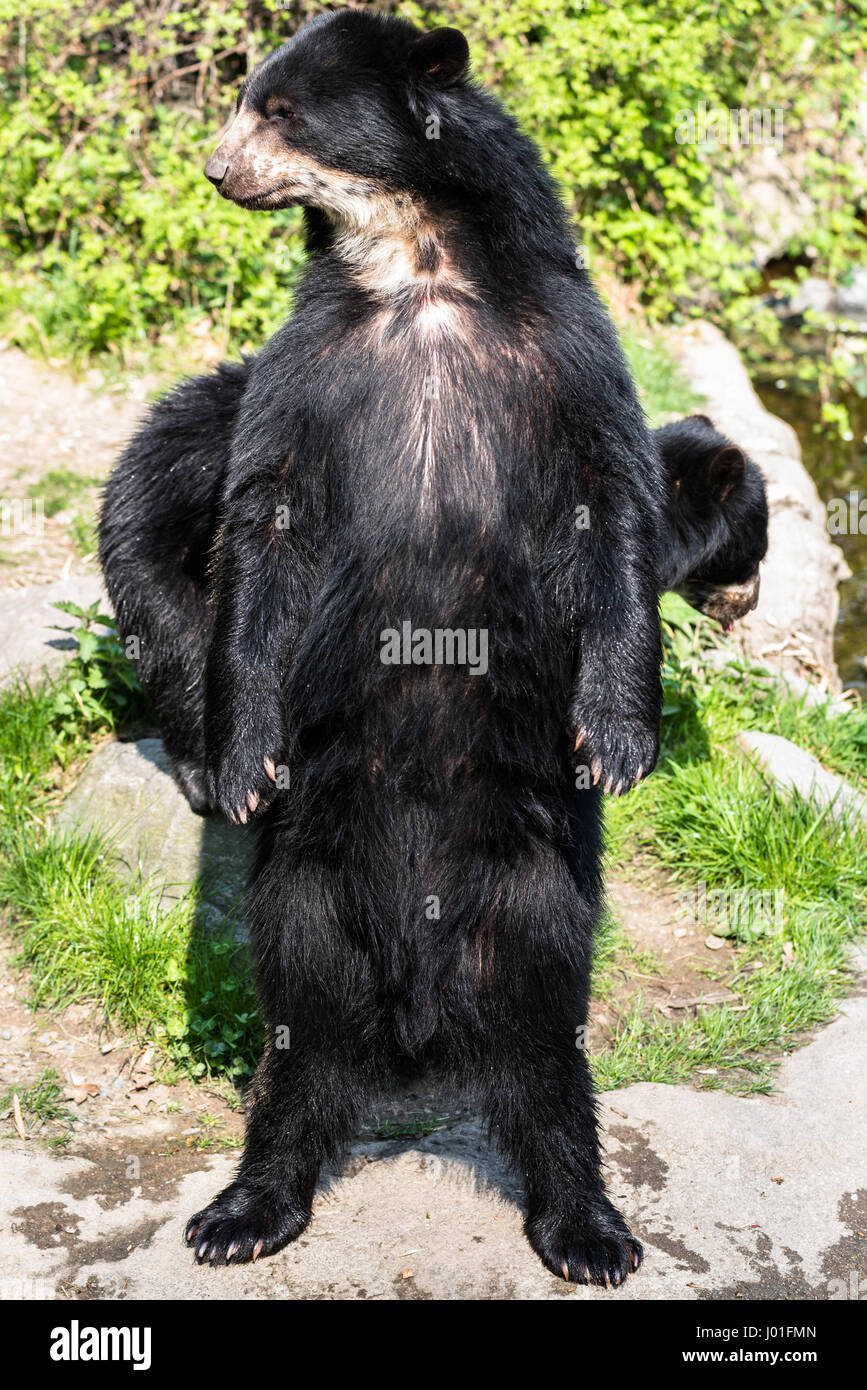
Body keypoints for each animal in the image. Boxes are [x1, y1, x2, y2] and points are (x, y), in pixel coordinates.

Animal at [99, 9, 738, 1284]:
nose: (215, 169)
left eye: (280, 110)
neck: (418, 265)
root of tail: (417, 1004)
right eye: (248, 100)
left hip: (536, 885)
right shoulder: (309, 365)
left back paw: (586, 1226)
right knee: (295, 1036)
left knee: (550, 1044)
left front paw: (621, 739)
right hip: (306, 883)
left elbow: (616, 501)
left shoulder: (562, 345)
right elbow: (260, 518)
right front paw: (239, 763)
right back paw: (247, 1206)